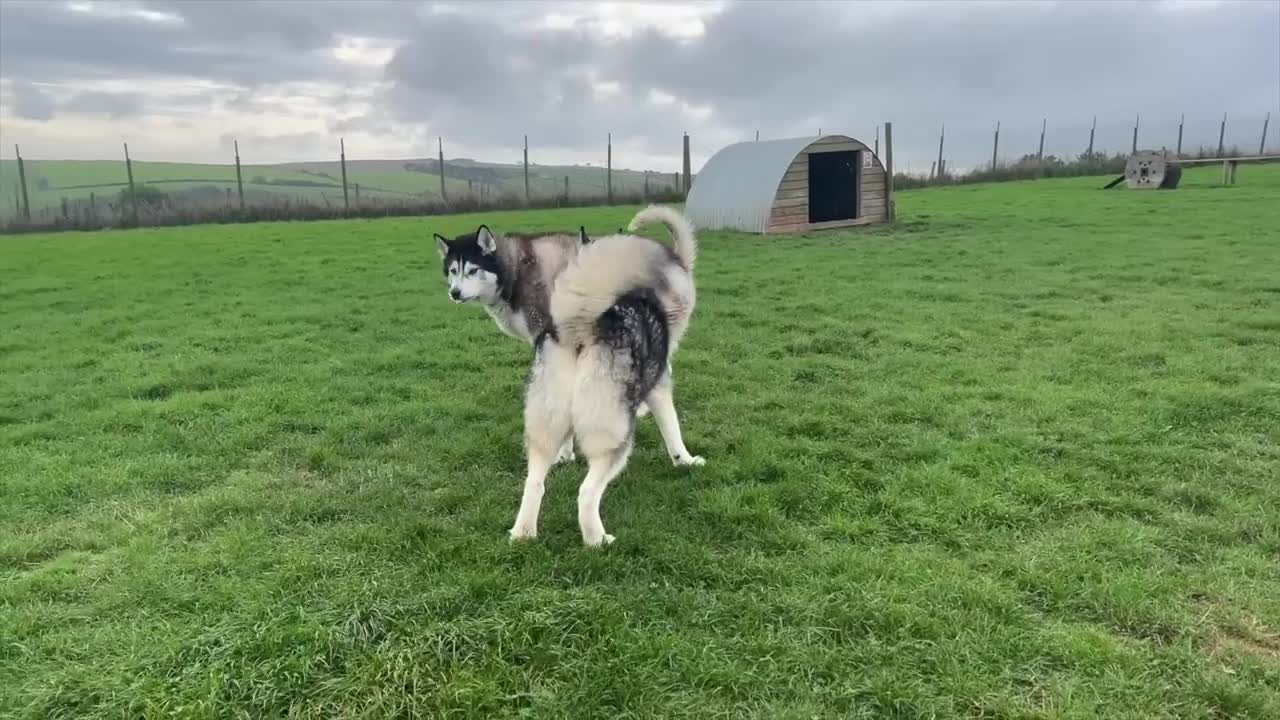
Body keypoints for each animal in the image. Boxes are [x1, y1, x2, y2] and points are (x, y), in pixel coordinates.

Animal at [509, 204, 706, 545]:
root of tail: (579, 328)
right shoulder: (659, 387)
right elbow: (673, 430)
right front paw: (686, 461)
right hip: (613, 438)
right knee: (586, 492)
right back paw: (597, 540)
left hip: (543, 430)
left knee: (534, 483)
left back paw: (523, 534)